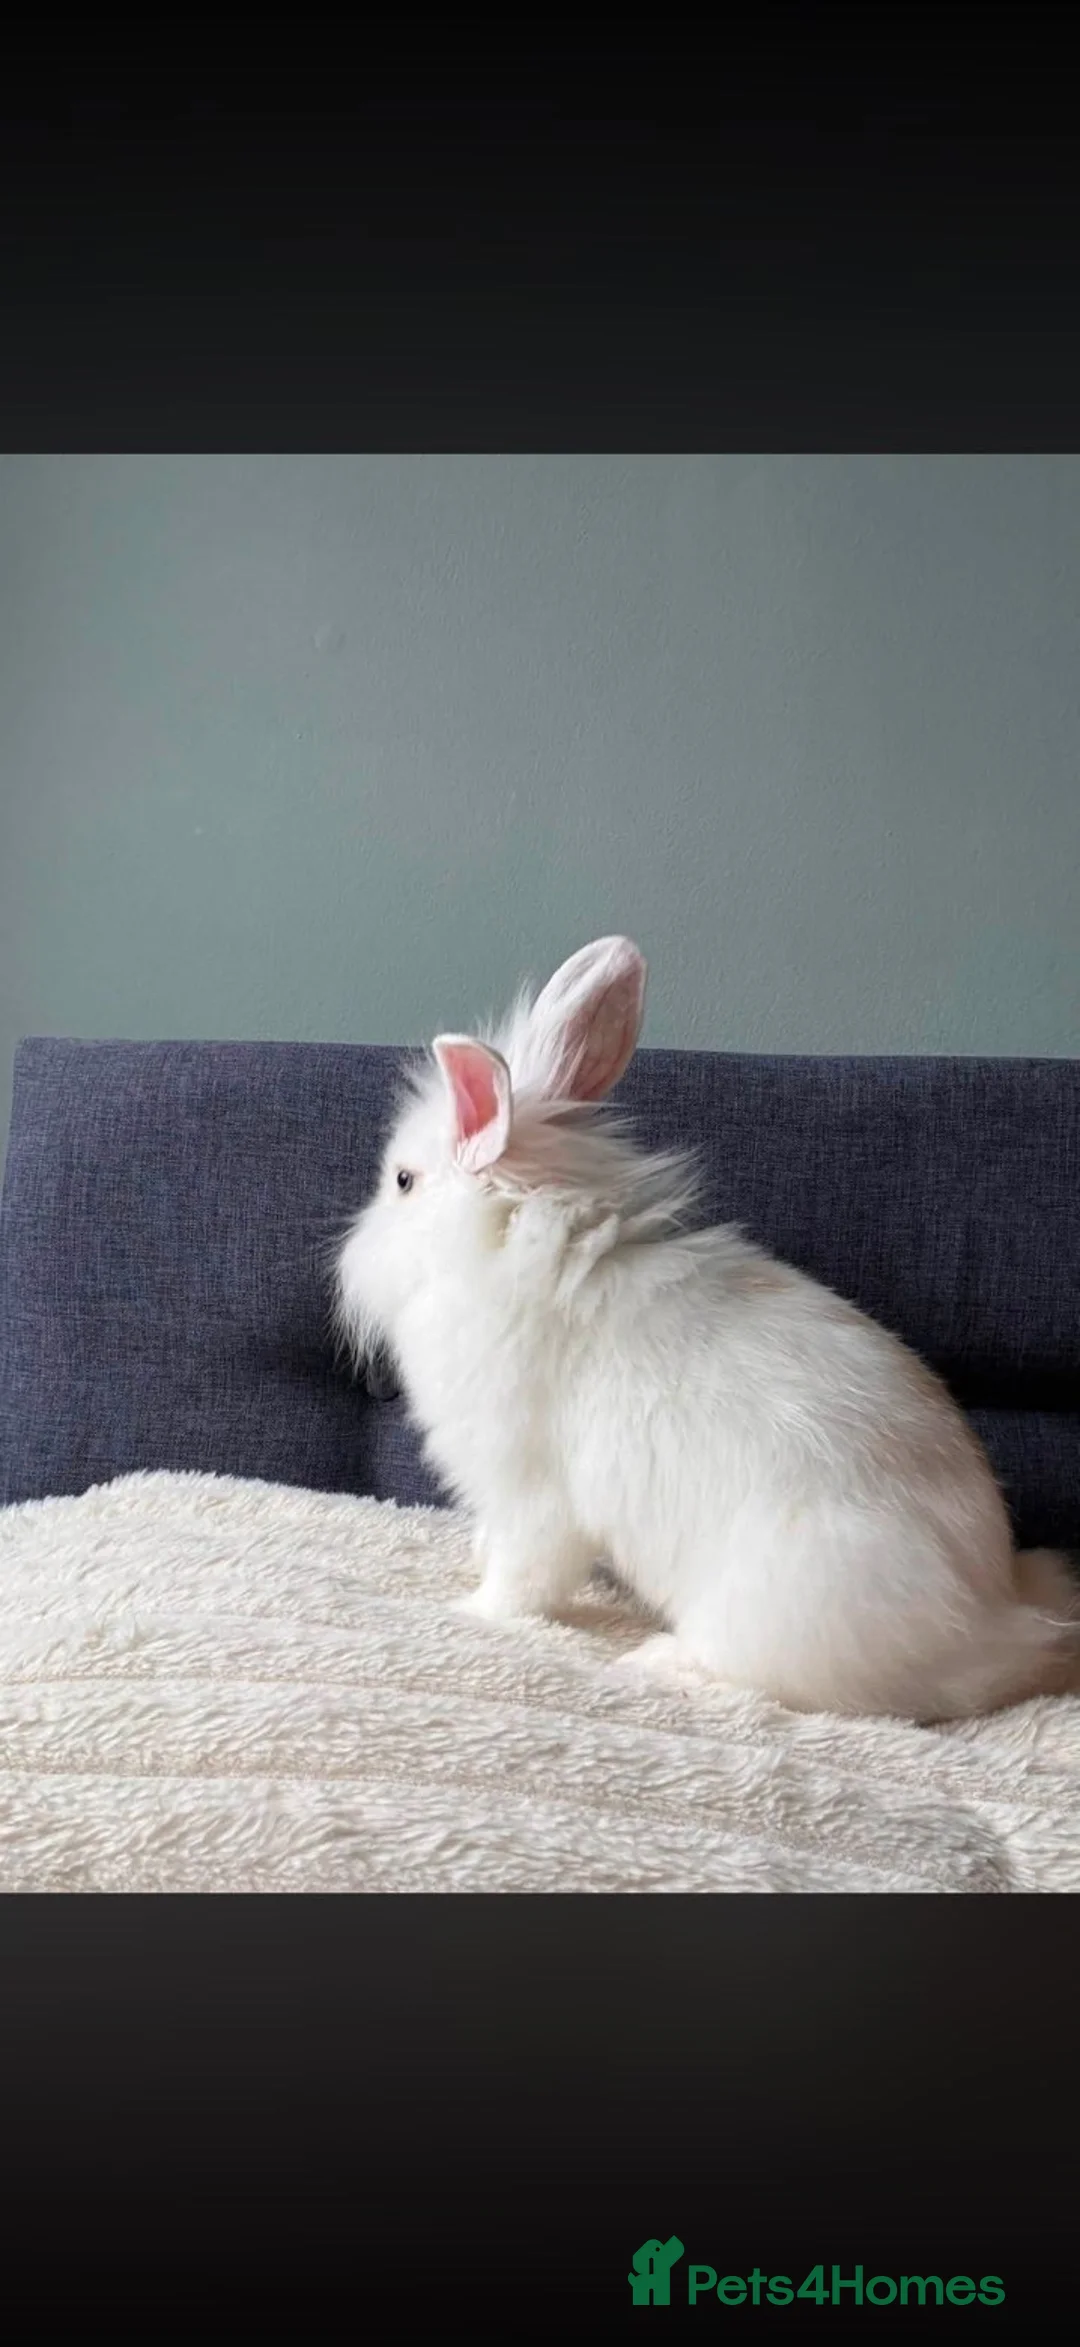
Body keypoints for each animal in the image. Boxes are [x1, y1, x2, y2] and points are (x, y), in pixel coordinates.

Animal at [335, 935, 1080, 1721]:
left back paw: (658, 1663)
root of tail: (995, 1630)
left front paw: (471, 1612)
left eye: (403, 1182)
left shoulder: (533, 1492)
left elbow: (524, 1575)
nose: (351, 1253)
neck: (520, 1246)